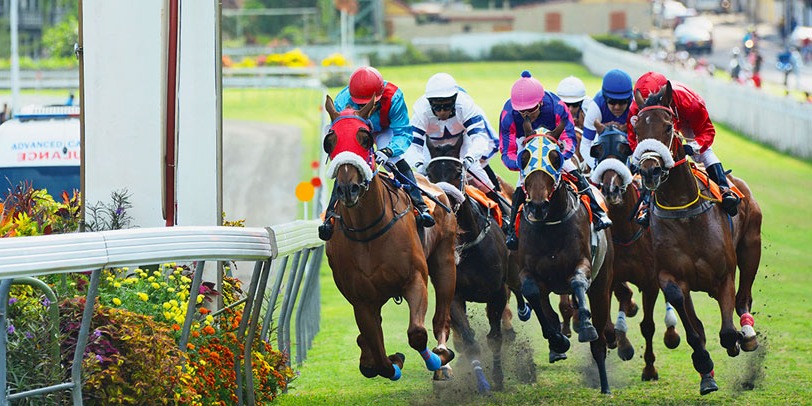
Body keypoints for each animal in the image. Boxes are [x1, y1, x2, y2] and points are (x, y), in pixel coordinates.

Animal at [322, 96, 460, 382]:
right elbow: (379, 355)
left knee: (441, 318)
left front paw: (436, 358)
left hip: (444, 262)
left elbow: (417, 334)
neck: (367, 231)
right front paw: (393, 361)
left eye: (365, 138)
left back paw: (443, 359)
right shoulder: (362, 300)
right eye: (329, 141)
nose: (348, 189)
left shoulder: (415, 279)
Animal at [422, 136, 528, 394]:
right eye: (430, 173)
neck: (467, 242)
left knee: (519, 290)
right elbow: (470, 341)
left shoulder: (496, 292)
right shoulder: (454, 295)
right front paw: (481, 381)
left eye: (457, 171)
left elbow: (495, 338)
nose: (443, 201)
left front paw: (498, 378)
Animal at [516, 136, 612, 394]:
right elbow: (532, 293)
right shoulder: (528, 272)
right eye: (524, 157)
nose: (538, 205)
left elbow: (578, 281)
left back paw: (605, 385)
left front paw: (585, 325)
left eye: (555, 157)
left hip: (602, 284)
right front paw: (558, 340)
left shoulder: (583, 264)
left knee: (599, 342)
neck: (550, 224)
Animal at [588, 124, 680, 380]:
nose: (610, 188)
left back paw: (671, 331)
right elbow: (620, 296)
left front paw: (649, 368)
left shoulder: (650, 282)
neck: (626, 231)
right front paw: (620, 341)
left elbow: (648, 325)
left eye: (624, 149)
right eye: (598, 150)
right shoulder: (609, 273)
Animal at [636, 81, 760, 394]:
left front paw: (735, 340)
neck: (685, 213)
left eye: (668, 126)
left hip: (751, 248)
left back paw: (747, 334)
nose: (649, 170)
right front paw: (704, 367)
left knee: (744, 299)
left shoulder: (724, 275)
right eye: (636, 128)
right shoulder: (670, 276)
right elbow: (692, 326)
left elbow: (727, 332)